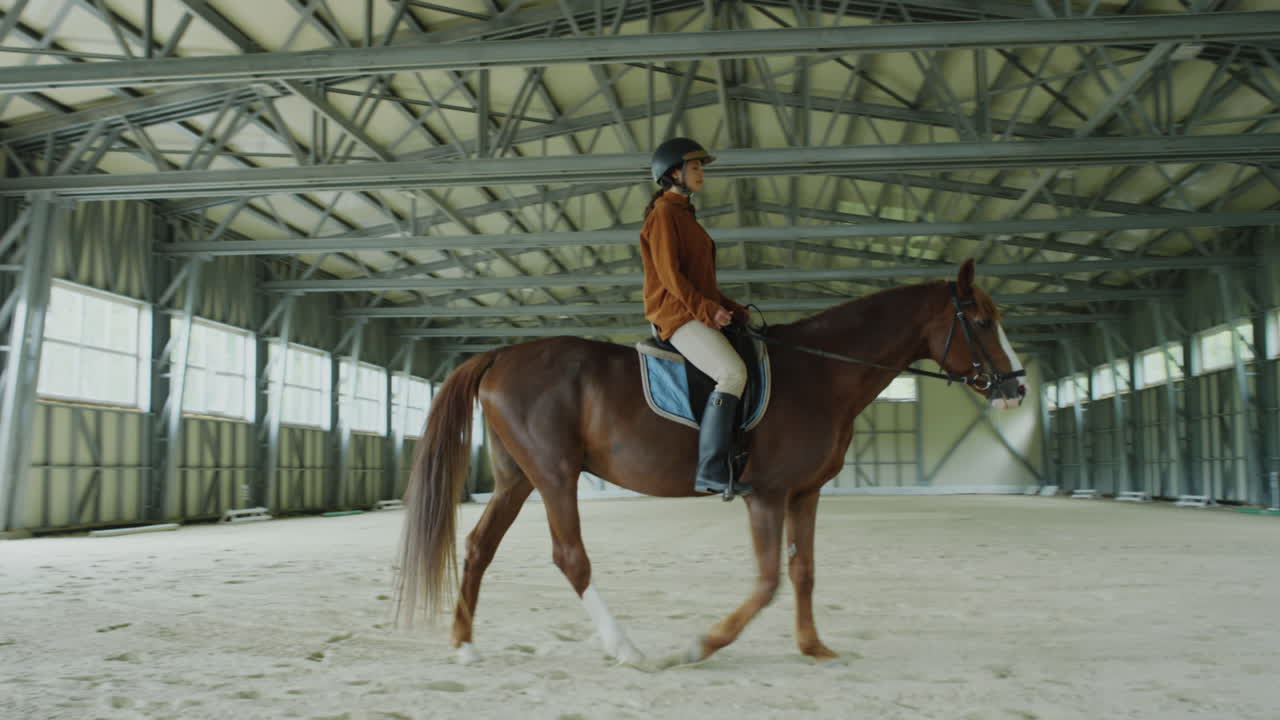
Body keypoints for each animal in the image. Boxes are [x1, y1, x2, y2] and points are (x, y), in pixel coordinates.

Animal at [393, 259, 1027, 667]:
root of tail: (501, 354)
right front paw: (702, 644)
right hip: (553, 473)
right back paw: (628, 650)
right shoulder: (767, 494)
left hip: (517, 479)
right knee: (570, 556)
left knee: (479, 547)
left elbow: (803, 571)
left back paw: (466, 646)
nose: (1017, 388)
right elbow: (769, 580)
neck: (822, 373)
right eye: (983, 320)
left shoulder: (805, 493)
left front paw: (814, 647)